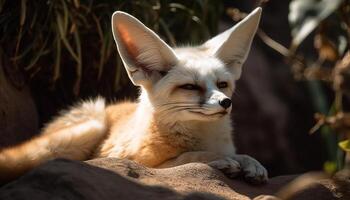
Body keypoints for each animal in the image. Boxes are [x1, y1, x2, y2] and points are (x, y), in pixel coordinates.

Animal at [0, 7, 268, 183]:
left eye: (222, 84)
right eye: (190, 87)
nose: (225, 102)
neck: (203, 137)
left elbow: (239, 155)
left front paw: (249, 162)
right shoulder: (142, 162)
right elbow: (188, 158)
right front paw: (218, 160)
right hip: (90, 128)